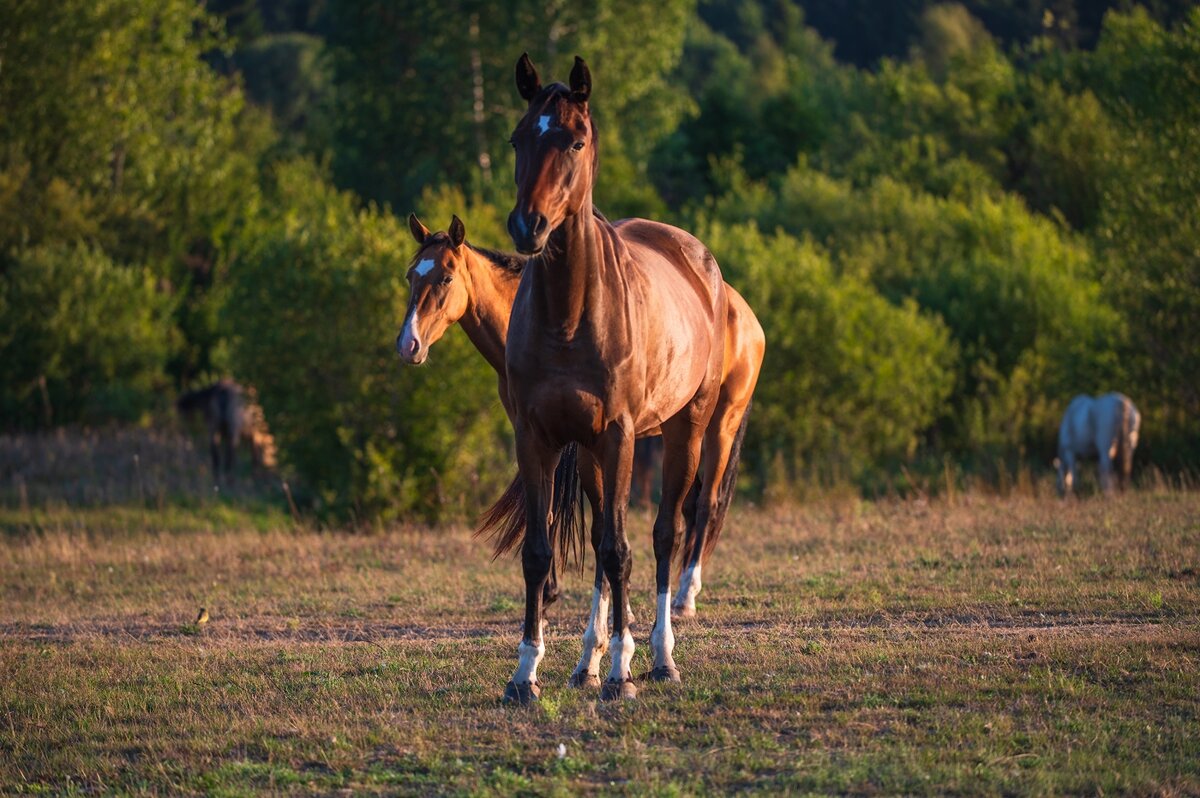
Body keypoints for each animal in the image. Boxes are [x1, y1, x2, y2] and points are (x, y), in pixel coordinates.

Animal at [499, 57, 763, 705]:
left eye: (575, 140)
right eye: (518, 139)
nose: (527, 225)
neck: (569, 316)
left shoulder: (618, 435)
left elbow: (621, 550)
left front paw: (623, 670)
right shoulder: (538, 438)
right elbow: (542, 553)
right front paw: (526, 674)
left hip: (687, 430)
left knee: (667, 532)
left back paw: (661, 656)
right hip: (597, 452)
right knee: (600, 539)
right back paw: (586, 662)